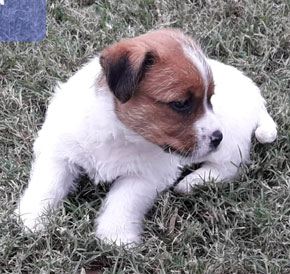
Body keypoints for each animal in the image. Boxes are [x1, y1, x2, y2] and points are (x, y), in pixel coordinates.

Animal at [15, 28, 276, 245]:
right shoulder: (59, 150)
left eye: (210, 99)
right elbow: (48, 184)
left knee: (228, 168)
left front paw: (115, 236)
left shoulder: (145, 176)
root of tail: (258, 98)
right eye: (180, 104)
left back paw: (191, 182)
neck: (121, 132)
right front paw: (33, 219)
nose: (217, 137)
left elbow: (123, 201)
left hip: (230, 145)